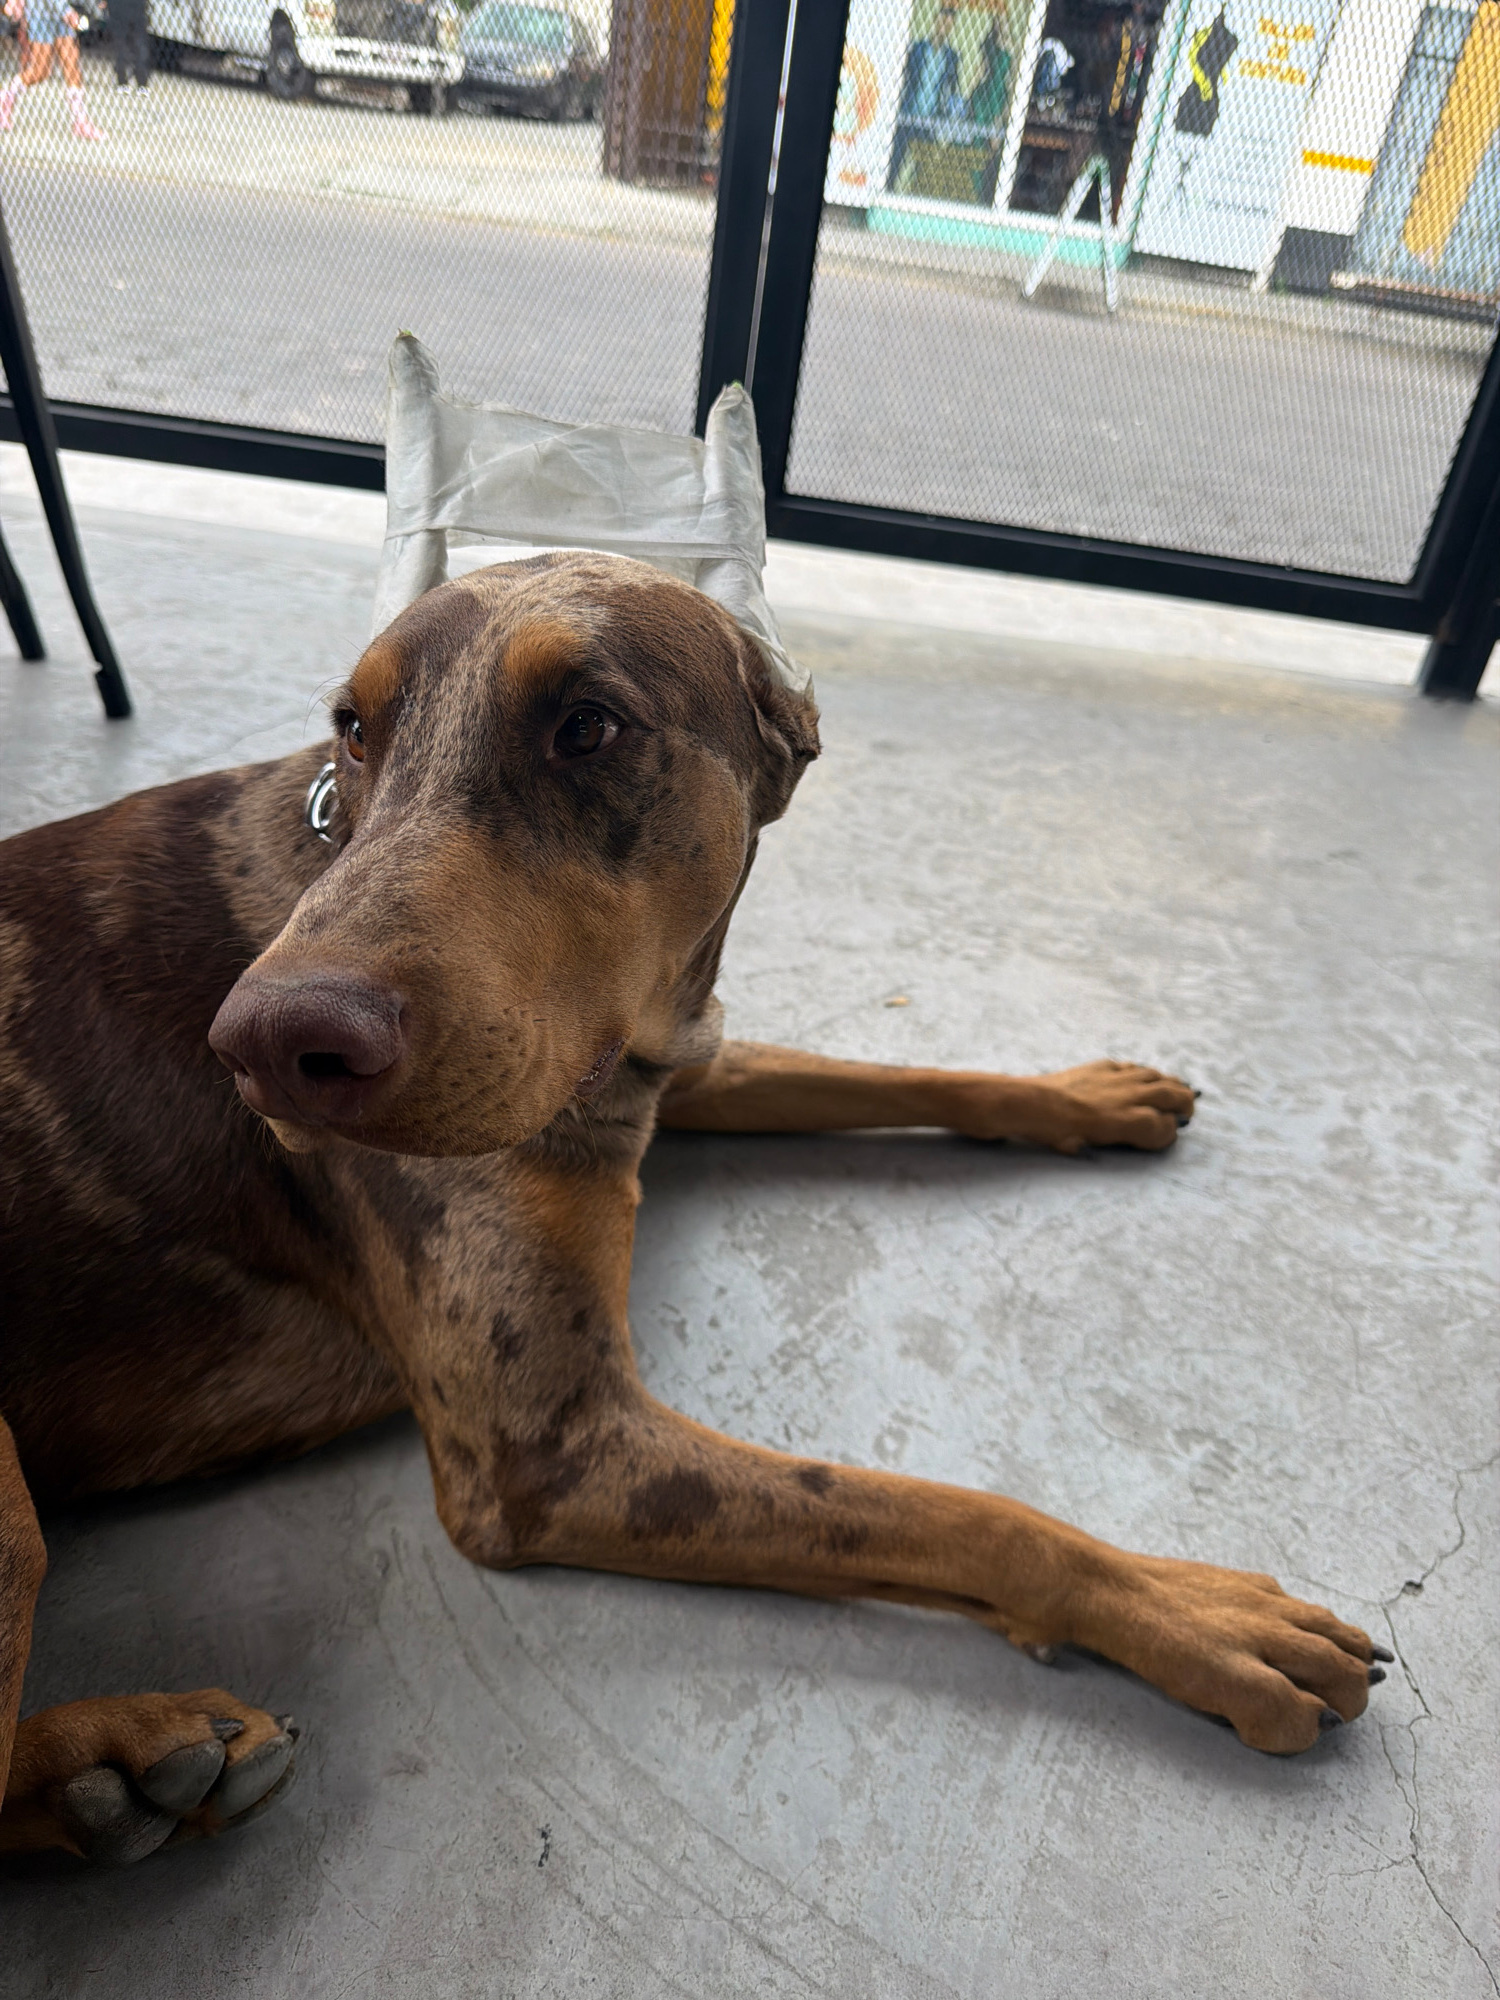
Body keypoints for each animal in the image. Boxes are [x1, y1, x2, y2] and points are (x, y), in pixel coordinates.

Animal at [0, 553, 1387, 1866]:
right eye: (353, 726)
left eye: (590, 725)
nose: (266, 1048)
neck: (635, 1044)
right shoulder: (554, 1451)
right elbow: (966, 1514)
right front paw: (1193, 1614)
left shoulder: (678, 1054)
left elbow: (883, 1072)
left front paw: (1076, 1094)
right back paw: (123, 1757)